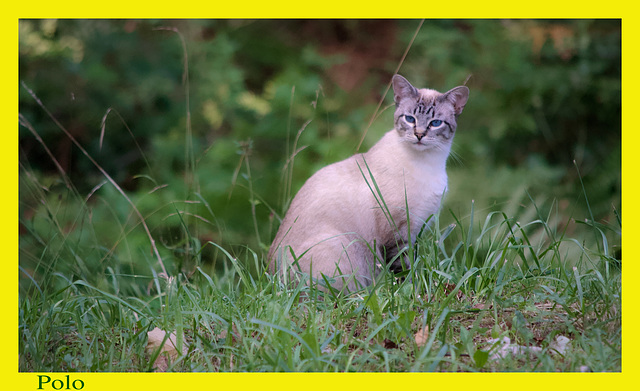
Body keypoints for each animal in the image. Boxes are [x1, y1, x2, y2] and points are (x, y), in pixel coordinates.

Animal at [268, 75, 468, 292]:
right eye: (410, 119)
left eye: (435, 123)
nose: (420, 135)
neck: (429, 163)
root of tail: (274, 284)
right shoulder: (398, 233)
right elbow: (404, 271)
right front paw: (410, 292)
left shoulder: (416, 229)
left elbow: (412, 265)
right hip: (341, 246)